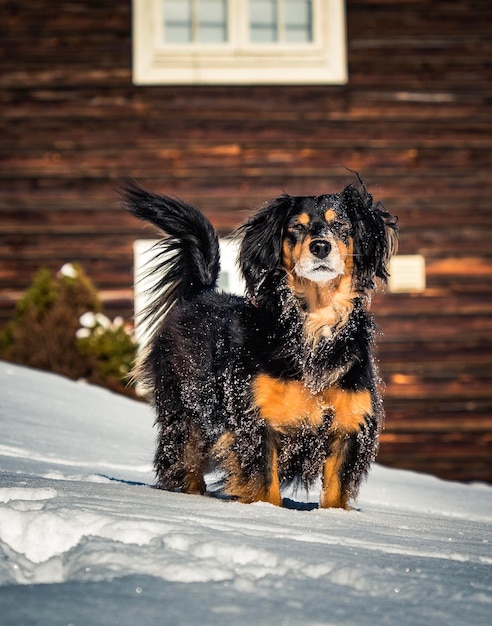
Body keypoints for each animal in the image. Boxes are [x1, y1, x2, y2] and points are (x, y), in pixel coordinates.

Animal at [125, 179, 398, 508]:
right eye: (296, 227)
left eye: (340, 224)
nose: (321, 246)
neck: (313, 324)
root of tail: (202, 293)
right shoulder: (255, 421)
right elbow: (266, 487)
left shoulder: (349, 426)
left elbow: (335, 492)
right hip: (186, 413)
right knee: (184, 462)